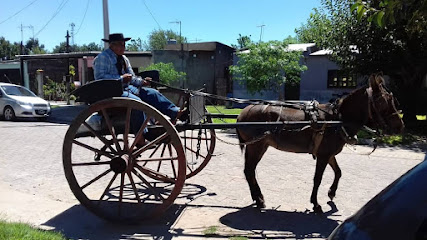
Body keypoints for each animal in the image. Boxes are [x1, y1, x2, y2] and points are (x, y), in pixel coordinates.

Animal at [237, 72, 404, 212]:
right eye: (383, 102)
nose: (400, 126)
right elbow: (318, 178)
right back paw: (259, 199)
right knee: (249, 171)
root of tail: (242, 114)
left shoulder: (329, 154)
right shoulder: (323, 156)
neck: (337, 119)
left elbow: (338, 172)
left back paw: (258, 198)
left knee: (249, 171)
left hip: (259, 146)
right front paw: (316, 203)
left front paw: (331, 192)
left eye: (392, 100)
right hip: (256, 146)